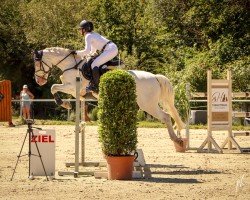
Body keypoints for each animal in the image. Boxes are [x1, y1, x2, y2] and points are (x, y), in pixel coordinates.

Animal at [33, 47, 186, 144]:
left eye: (37, 64)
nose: (39, 81)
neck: (71, 65)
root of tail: (154, 77)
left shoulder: (71, 86)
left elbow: (54, 87)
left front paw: (64, 104)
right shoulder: (77, 92)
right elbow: (77, 102)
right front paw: (79, 121)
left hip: (147, 105)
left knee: (166, 116)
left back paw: (175, 139)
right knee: (168, 115)